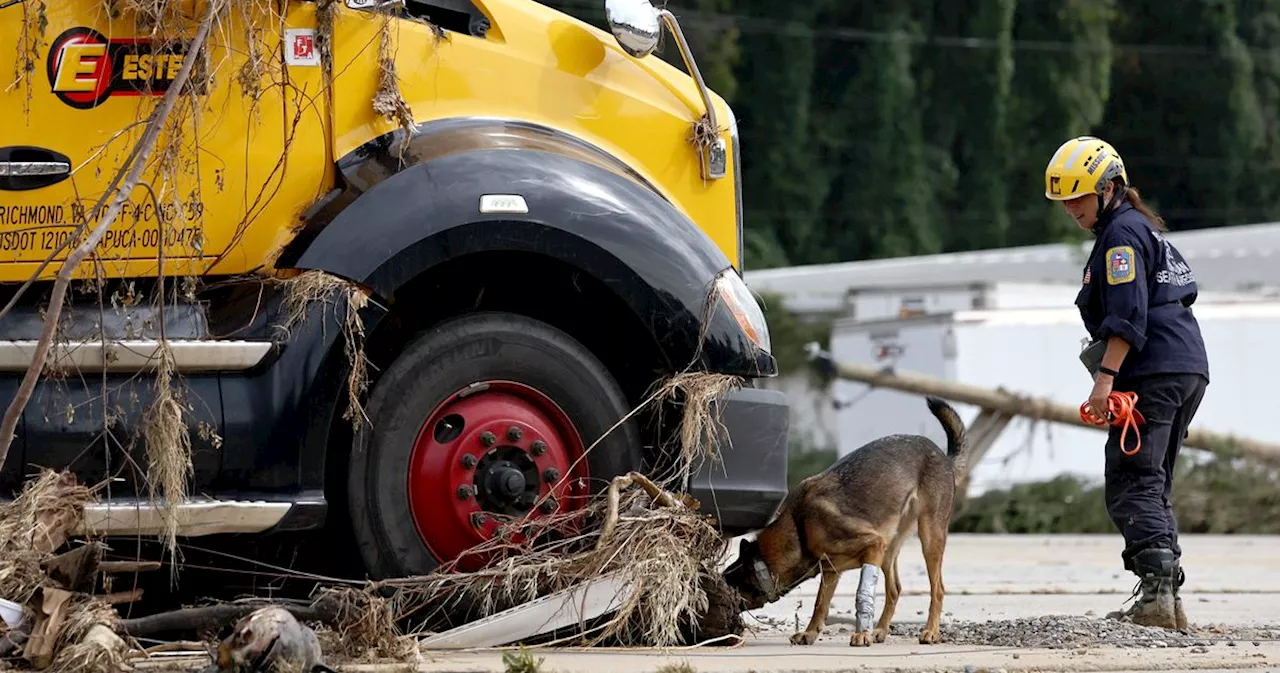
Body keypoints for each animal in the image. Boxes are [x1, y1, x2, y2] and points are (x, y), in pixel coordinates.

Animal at [721, 396, 967, 649]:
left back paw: (930, 631)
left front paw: (861, 634)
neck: (800, 528)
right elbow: (820, 603)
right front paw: (810, 633)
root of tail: (944, 457)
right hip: (889, 548)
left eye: (729, 585)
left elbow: (862, 595)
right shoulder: (832, 571)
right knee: (895, 589)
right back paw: (880, 630)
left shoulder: (872, 547)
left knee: (938, 589)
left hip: (929, 537)